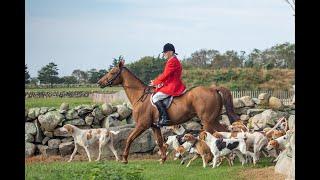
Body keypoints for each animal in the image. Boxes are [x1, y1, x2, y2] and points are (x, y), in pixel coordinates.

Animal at [97, 60, 240, 165]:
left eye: (112, 72)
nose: (99, 83)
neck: (141, 96)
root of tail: (213, 89)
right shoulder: (154, 126)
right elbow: (160, 142)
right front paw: (163, 159)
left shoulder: (142, 125)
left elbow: (129, 138)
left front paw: (125, 159)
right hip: (213, 119)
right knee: (224, 132)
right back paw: (230, 156)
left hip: (208, 121)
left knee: (219, 135)